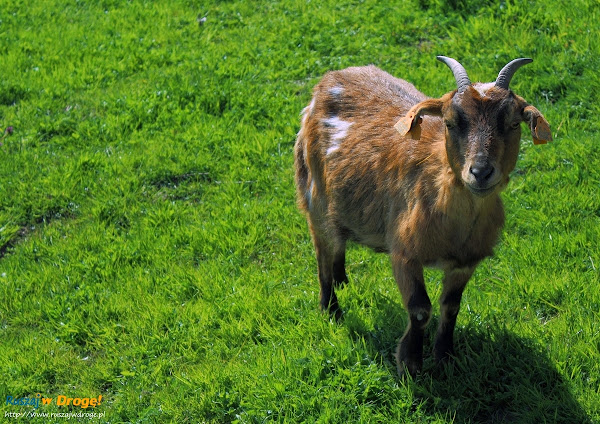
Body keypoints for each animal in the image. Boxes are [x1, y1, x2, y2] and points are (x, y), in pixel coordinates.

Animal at [292, 56, 552, 378]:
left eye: (513, 124)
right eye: (450, 123)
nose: (480, 172)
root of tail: (329, 80)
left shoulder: (465, 262)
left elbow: (451, 306)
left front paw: (445, 355)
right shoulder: (404, 254)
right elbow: (419, 309)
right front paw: (410, 363)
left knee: (338, 241)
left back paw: (342, 280)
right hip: (313, 192)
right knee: (322, 251)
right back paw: (331, 308)